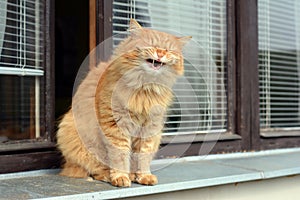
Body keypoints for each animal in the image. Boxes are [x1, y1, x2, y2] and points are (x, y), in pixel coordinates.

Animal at [56, 19, 191, 187]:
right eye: (151, 45)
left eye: (168, 50)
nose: (160, 53)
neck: (144, 89)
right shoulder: (116, 126)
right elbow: (120, 156)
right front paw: (121, 177)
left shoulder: (149, 128)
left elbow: (142, 156)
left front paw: (144, 176)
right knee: (95, 170)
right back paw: (111, 176)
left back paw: (132, 175)